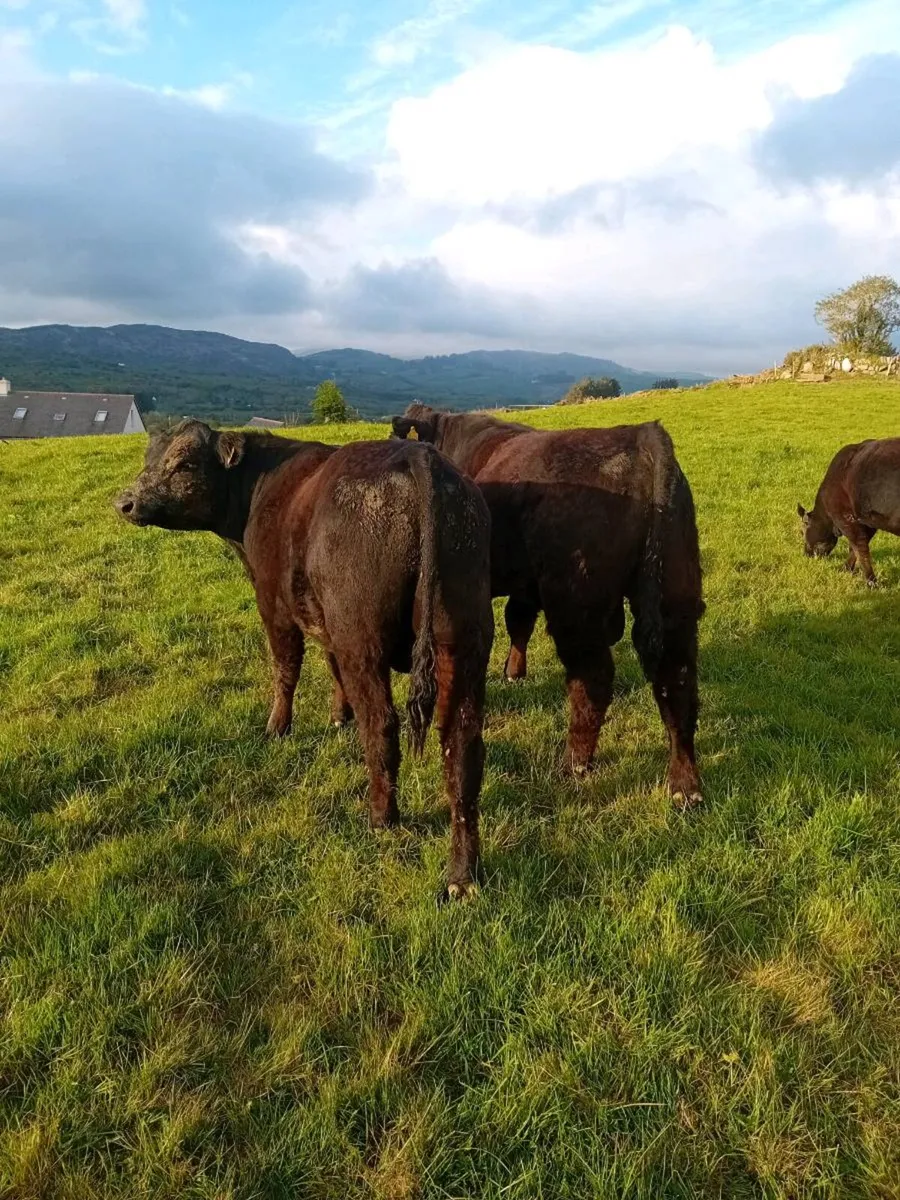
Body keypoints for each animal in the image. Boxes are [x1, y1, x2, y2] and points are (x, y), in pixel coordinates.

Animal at [115, 420, 493, 900]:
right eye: (149, 457)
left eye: (183, 463)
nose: (125, 502)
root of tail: (417, 456)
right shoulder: (325, 624)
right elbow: (330, 669)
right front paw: (337, 714)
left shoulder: (274, 604)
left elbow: (285, 669)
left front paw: (277, 727)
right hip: (463, 641)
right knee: (462, 748)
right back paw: (462, 876)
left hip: (362, 638)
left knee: (382, 725)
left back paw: (381, 818)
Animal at [392, 404, 705, 808]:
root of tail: (639, 435)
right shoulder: (526, 587)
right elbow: (518, 621)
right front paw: (514, 671)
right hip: (676, 599)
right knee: (677, 682)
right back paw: (685, 785)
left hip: (576, 608)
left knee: (594, 679)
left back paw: (574, 763)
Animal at [798, 437, 900, 587]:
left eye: (803, 529)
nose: (806, 554)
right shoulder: (867, 521)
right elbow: (856, 548)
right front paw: (846, 568)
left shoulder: (845, 518)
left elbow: (859, 547)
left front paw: (871, 581)